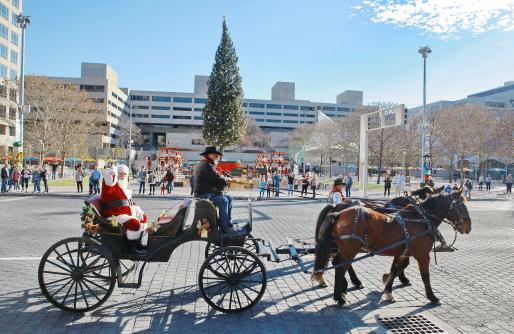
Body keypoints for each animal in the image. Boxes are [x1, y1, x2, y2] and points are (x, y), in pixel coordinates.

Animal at [310, 189, 470, 306]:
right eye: (461, 205)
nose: (468, 227)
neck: (421, 219)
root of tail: (338, 211)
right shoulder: (423, 255)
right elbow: (425, 276)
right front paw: (432, 297)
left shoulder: (402, 252)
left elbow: (395, 269)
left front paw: (388, 289)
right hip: (350, 248)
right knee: (340, 265)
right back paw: (340, 295)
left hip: (344, 248)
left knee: (339, 263)